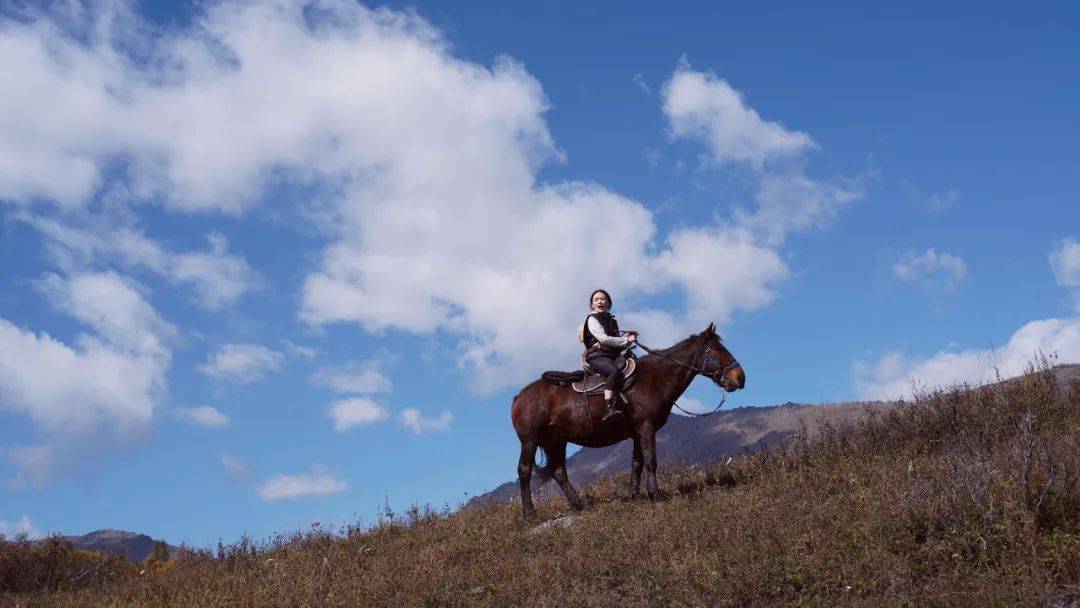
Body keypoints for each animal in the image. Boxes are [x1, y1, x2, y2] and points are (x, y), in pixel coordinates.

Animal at [509, 323, 747, 518]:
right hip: (530, 441)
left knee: (559, 472)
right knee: (524, 470)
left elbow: (637, 464)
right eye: (717, 350)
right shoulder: (646, 428)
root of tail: (519, 397)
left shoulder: (637, 432)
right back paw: (529, 512)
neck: (655, 378)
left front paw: (635, 496)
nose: (740, 377)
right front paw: (656, 496)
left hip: (556, 442)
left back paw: (580, 505)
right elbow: (650, 462)